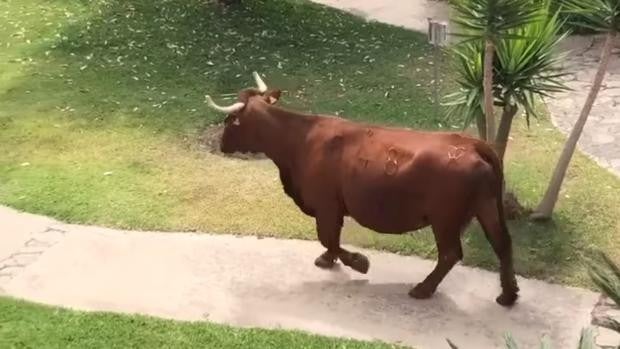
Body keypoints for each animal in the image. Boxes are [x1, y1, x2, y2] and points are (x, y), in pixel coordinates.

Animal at [206, 71, 520, 304]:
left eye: (229, 120)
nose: (221, 143)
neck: (298, 139)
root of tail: (472, 143)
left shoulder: (327, 204)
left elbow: (327, 237)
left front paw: (358, 262)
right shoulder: (334, 207)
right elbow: (331, 238)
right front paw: (329, 260)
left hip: (445, 218)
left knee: (451, 254)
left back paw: (423, 288)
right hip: (486, 207)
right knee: (502, 243)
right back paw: (508, 294)